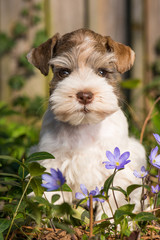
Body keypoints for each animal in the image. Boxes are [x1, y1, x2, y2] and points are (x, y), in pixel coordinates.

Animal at [27, 29, 146, 219]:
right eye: (64, 72)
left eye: (102, 72)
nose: (84, 95)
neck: (85, 126)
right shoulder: (52, 163)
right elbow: (53, 195)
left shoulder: (116, 168)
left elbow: (114, 201)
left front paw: (112, 222)